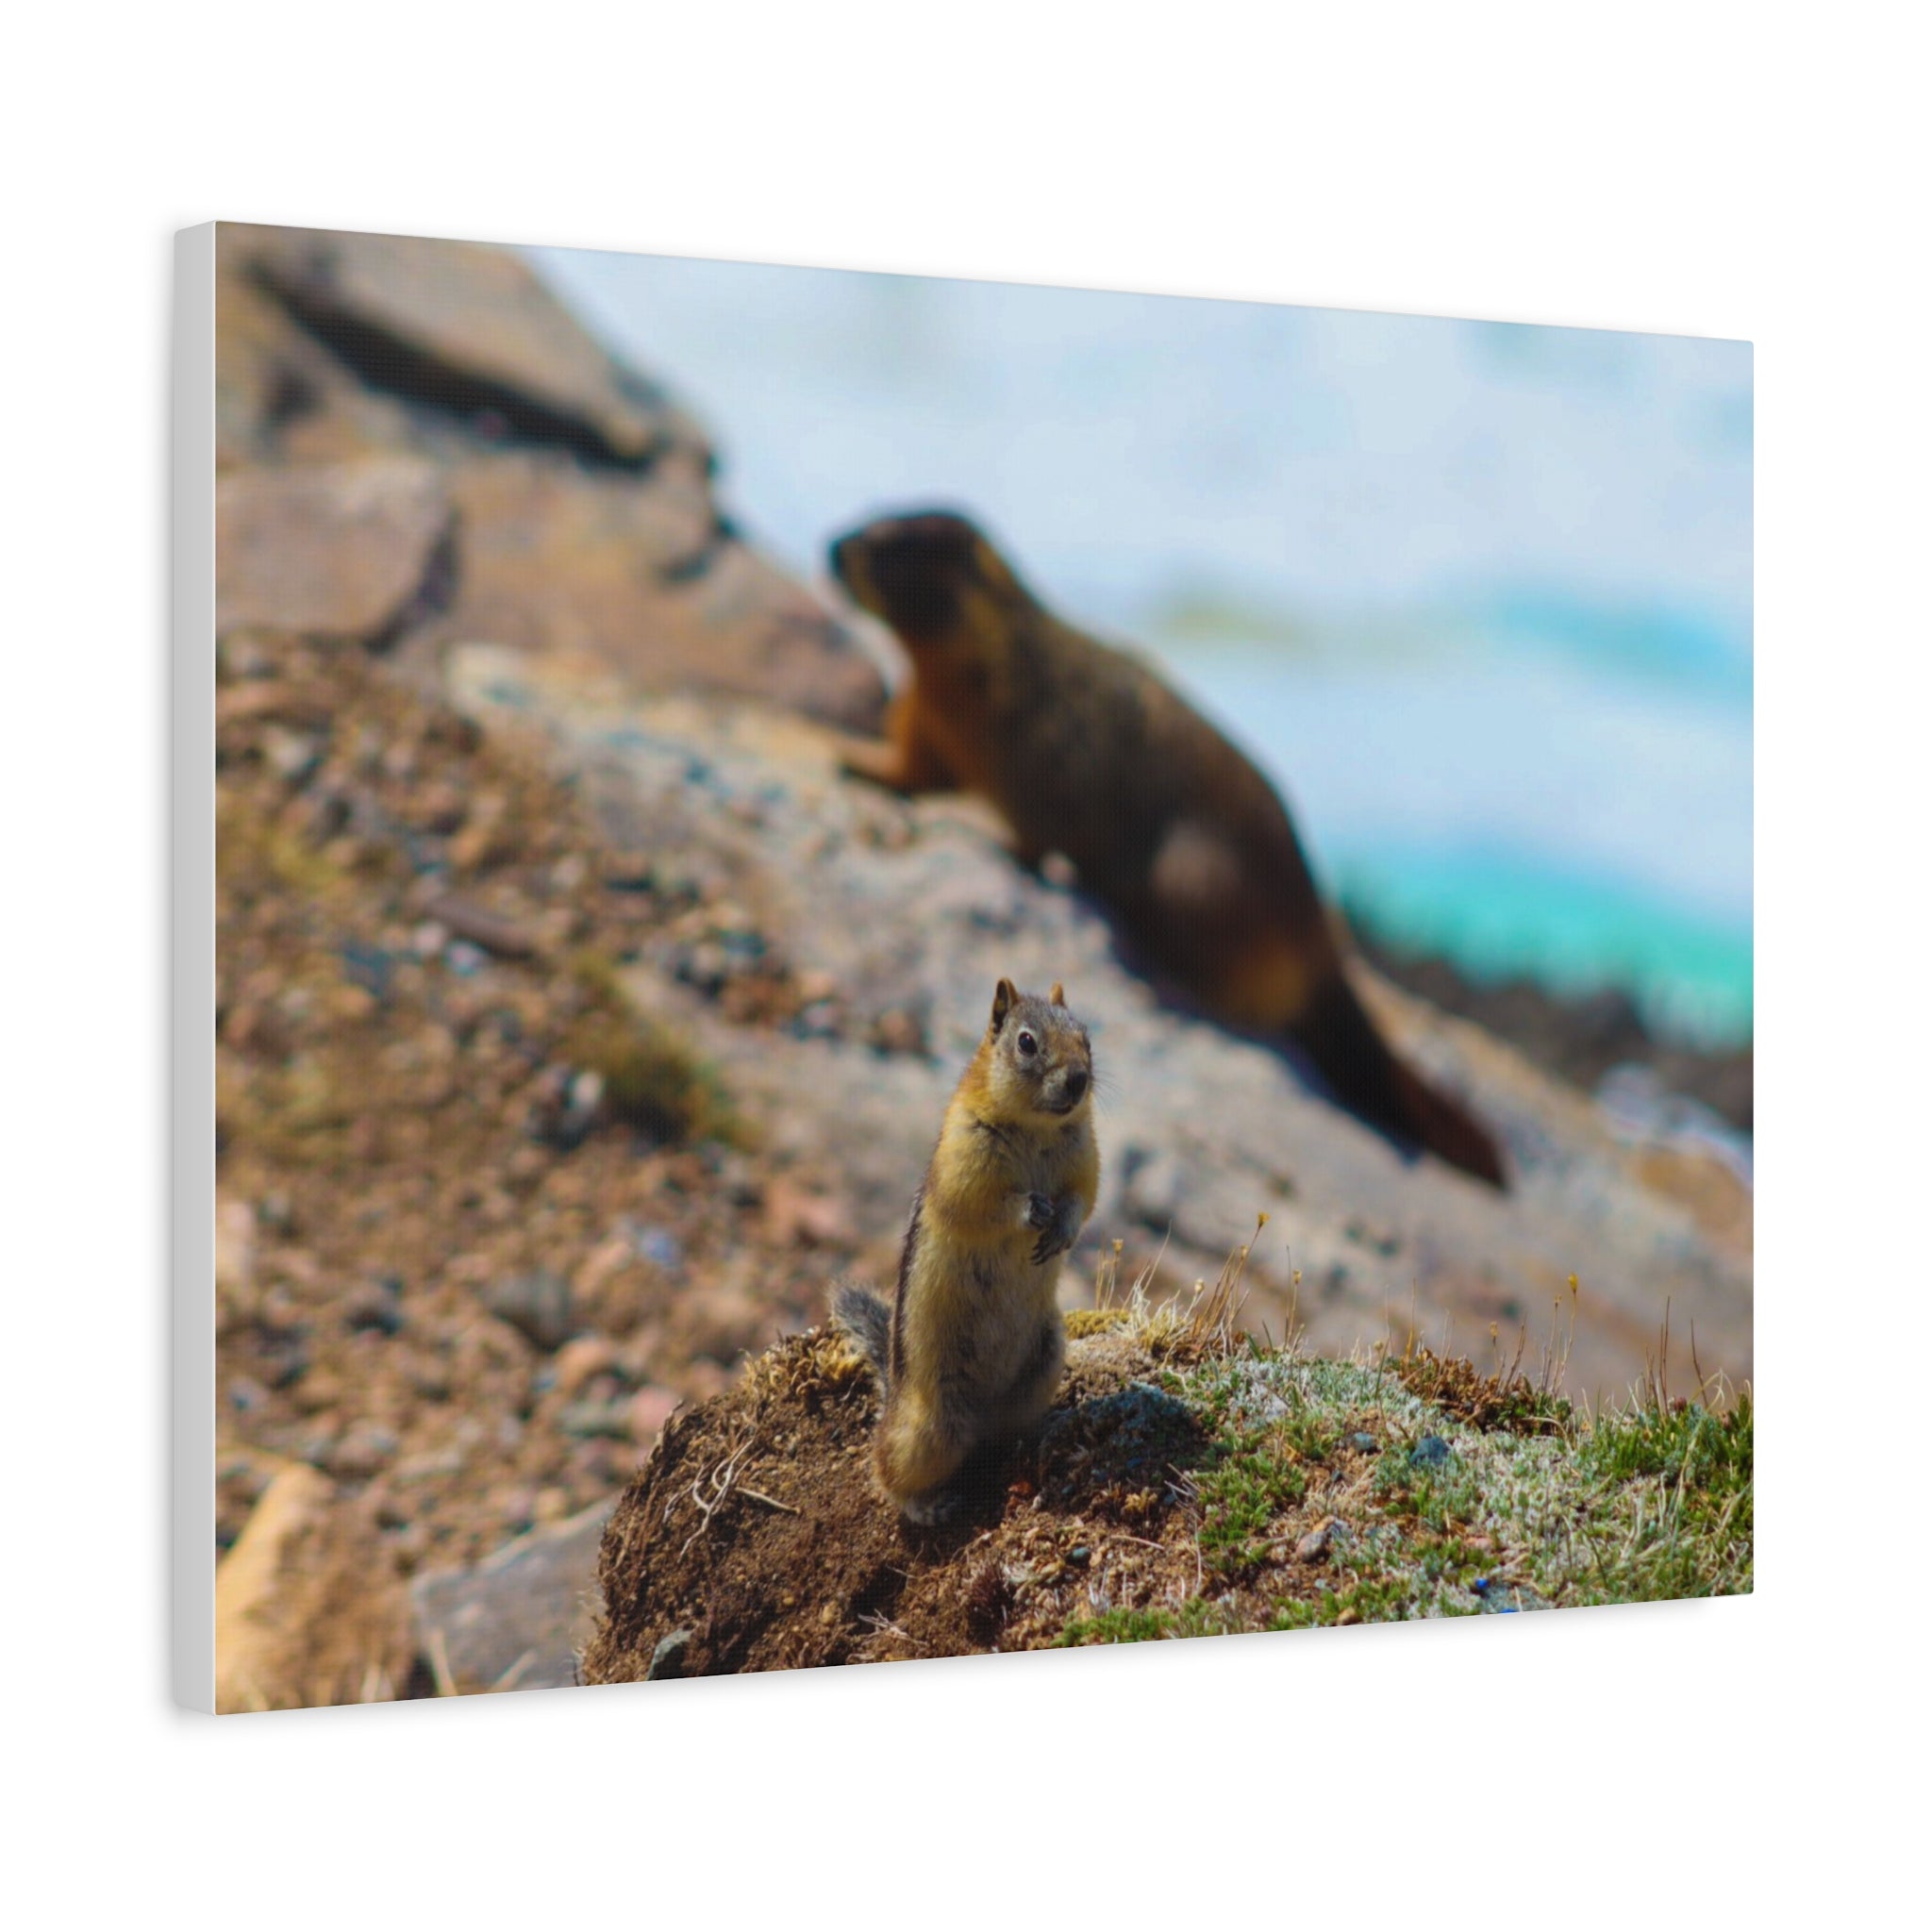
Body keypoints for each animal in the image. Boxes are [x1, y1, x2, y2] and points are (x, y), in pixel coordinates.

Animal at [828, 509, 1507, 1189]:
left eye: (901, 538)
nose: (832, 546)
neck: (964, 661)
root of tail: (1324, 949)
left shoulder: (1043, 741)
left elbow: (1045, 817)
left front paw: (1011, 843)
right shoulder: (926, 711)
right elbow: (915, 761)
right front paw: (859, 760)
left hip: (1190, 877)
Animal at [833, 978, 1100, 1524]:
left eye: (1086, 1036)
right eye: (1026, 1042)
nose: (1080, 1080)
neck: (1037, 1126)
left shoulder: (1086, 1155)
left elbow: (1083, 1198)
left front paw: (1061, 1227)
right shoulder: (965, 1158)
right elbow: (980, 1205)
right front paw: (1031, 1210)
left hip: (1045, 1359)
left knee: (1003, 1434)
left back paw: (1039, 1432)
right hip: (931, 1428)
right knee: (886, 1468)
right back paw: (927, 1505)